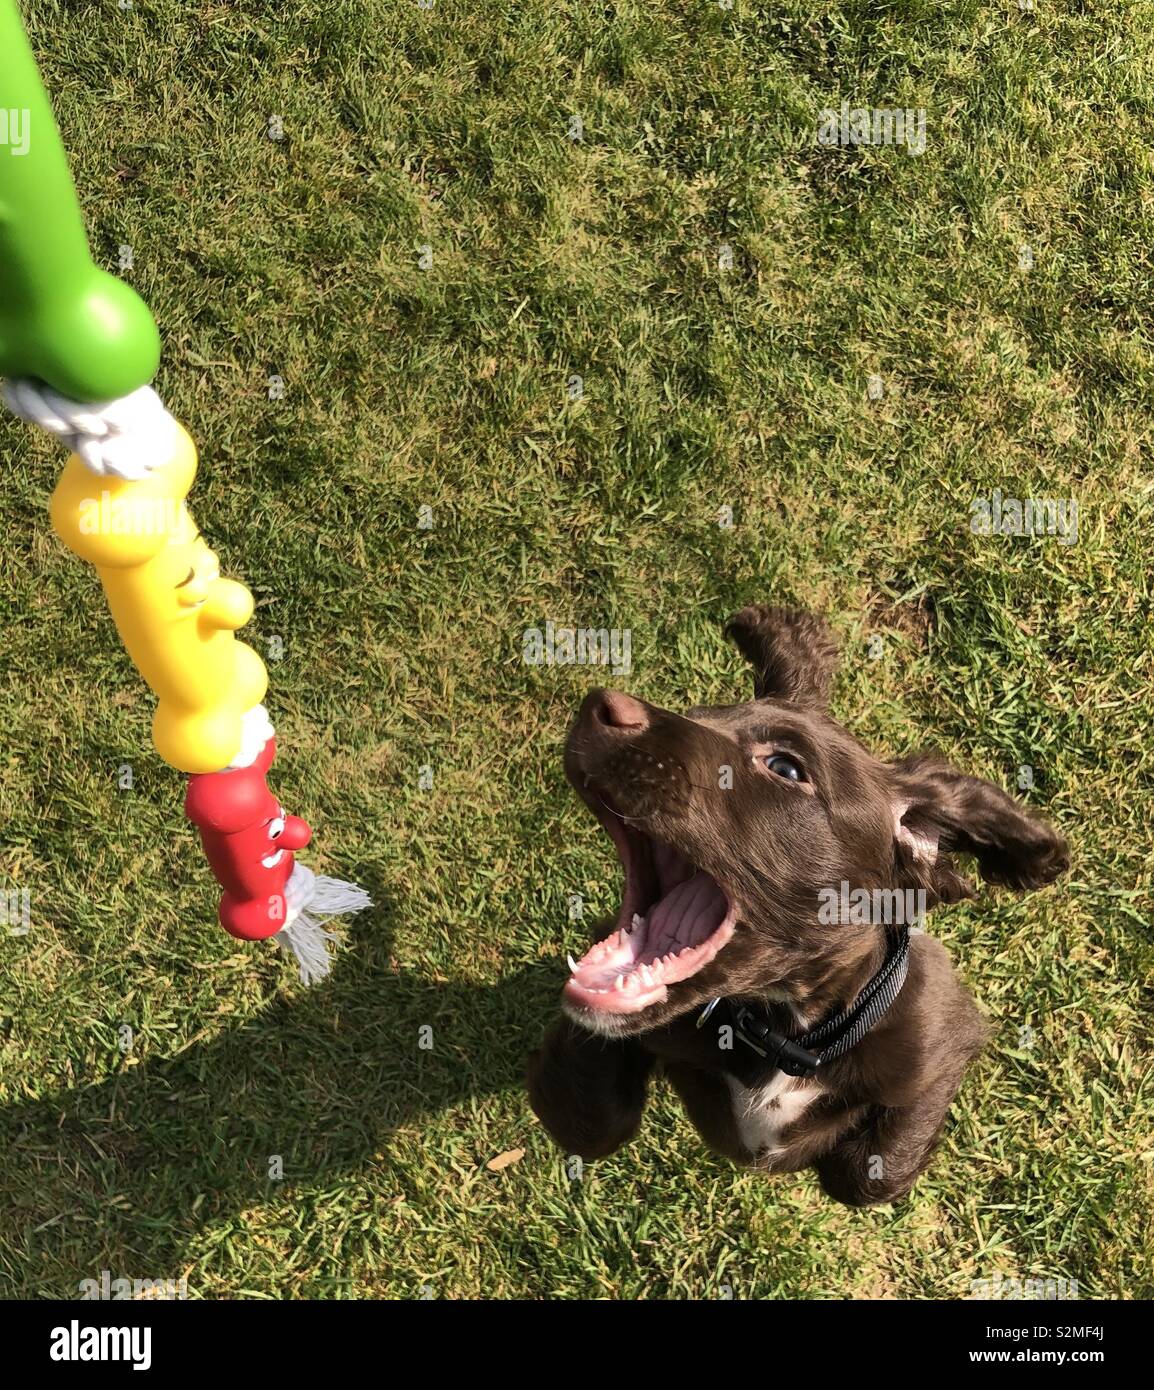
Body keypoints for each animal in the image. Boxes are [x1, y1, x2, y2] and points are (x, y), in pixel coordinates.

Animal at [528, 608, 1073, 1206]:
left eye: (786, 769)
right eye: (695, 717)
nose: (598, 704)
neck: (786, 1033)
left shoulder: (944, 1037)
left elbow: (867, 1173)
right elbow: (590, 1118)